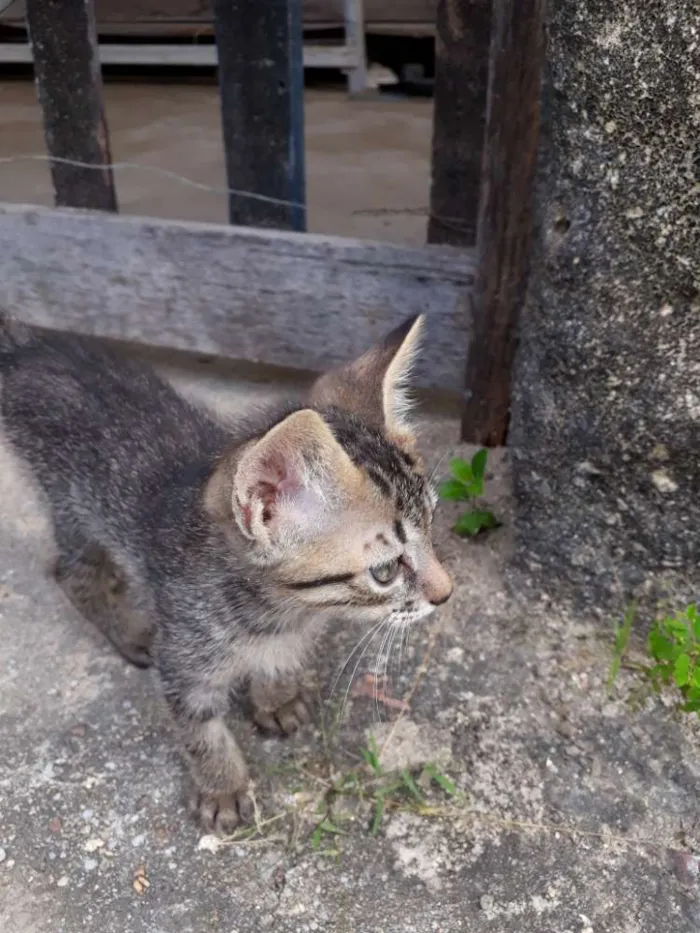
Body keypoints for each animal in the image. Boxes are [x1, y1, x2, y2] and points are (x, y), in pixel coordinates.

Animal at [0, 312, 454, 832]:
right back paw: (129, 630)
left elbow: (281, 659)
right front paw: (222, 787)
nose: (447, 593)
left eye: (431, 523)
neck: (281, 612)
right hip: (74, 506)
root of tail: (28, 350)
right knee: (70, 570)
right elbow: (200, 728)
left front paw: (275, 696)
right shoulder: (184, 659)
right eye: (385, 571)